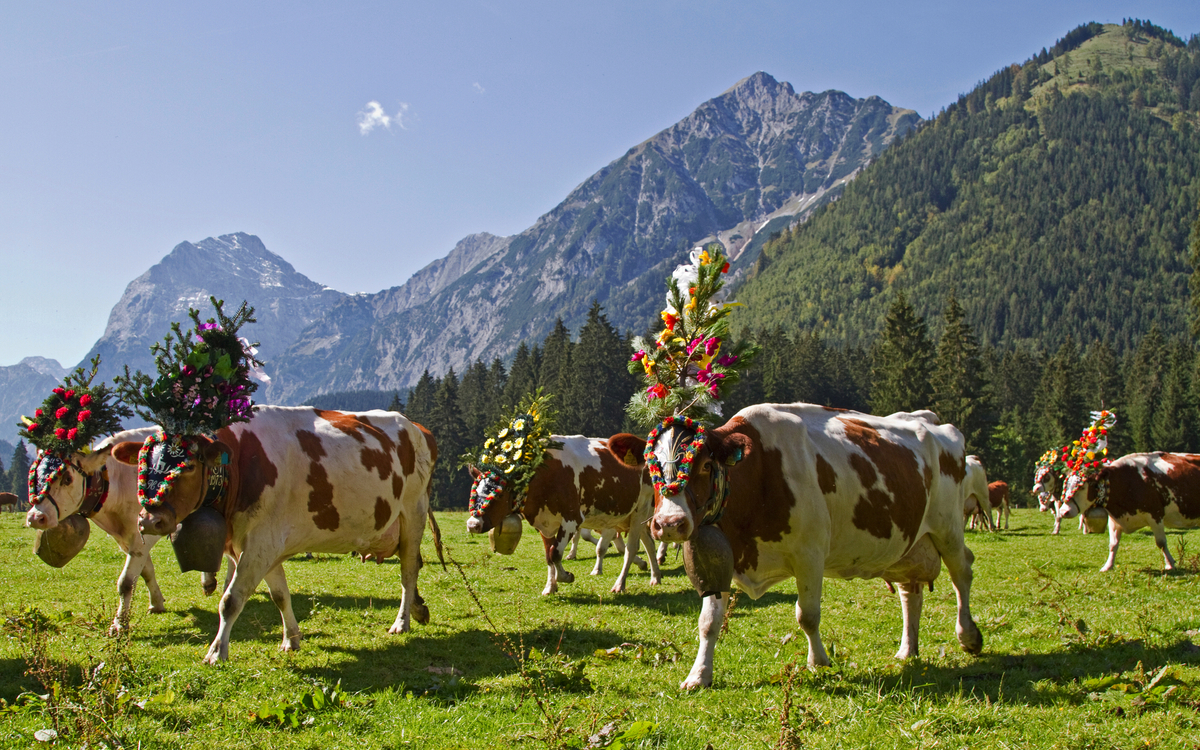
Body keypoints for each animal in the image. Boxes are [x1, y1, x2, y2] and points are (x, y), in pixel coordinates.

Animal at [21, 427, 227, 632]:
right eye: (34, 475)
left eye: (67, 478)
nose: (35, 517)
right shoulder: (129, 537)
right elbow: (146, 571)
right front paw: (156, 603)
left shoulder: (144, 533)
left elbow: (126, 582)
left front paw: (120, 623)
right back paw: (208, 582)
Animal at [112, 406, 436, 663]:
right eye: (141, 464)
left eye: (188, 466)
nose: (150, 520)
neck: (239, 466)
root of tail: (416, 427)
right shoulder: (262, 545)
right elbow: (280, 595)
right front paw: (291, 638)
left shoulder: (260, 542)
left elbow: (231, 600)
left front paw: (217, 652)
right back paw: (418, 610)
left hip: (413, 515)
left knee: (408, 572)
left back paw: (402, 622)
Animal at [467, 435, 661, 595]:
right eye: (473, 492)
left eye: (498, 494)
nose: (472, 525)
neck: (542, 475)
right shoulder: (544, 523)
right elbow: (548, 555)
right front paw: (550, 586)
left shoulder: (571, 519)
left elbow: (555, 554)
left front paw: (565, 576)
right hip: (631, 516)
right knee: (649, 544)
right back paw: (655, 576)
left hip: (641, 510)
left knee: (631, 549)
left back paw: (620, 585)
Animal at [620, 404, 983, 690]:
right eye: (650, 467)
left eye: (706, 465)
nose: (669, 523)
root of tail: (930, 420)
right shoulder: (721, 555)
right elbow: (708, 621)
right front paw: (699, 675)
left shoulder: (810, 554)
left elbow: (807, 615)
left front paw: (818, 661)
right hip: (909, 544)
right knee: (911, 591)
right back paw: (908, 649)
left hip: (949, 527)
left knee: (962, 572)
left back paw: (969, 636)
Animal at [1058, 452, 1200, 572]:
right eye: (1066, 484)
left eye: (1081, 486)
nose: (1064, 512)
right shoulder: (1114, 519)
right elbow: (1113, 544)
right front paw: (1108, 566)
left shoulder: (1155, 515)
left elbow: (1161, 543)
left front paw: (1170, 564)